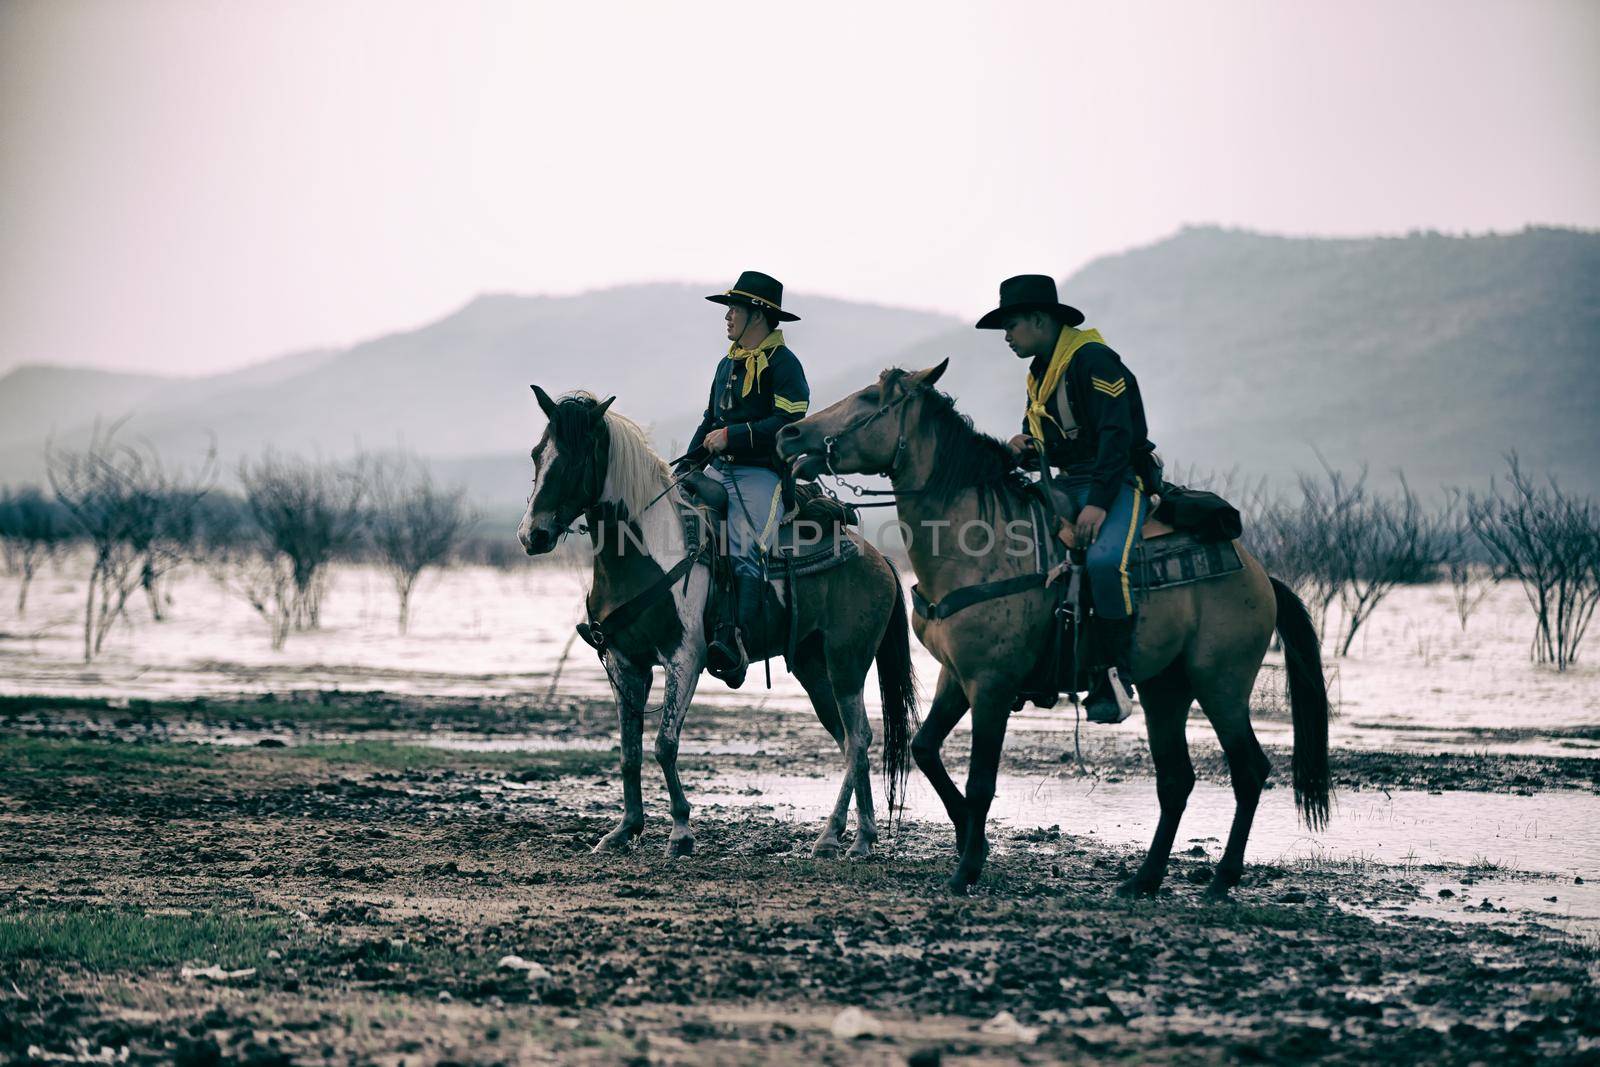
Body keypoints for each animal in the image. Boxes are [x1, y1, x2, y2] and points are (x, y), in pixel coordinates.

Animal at [512, 388, 915, 863]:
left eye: (575, 459)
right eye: (537, 454)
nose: (532, 536)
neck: (646, 551)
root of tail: (878, 558)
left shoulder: (684, 658)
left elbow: (664, 744)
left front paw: (681, 833)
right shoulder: (626, 664)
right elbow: (629, 751)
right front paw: (625, 829)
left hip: (846, 662)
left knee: (858, 738)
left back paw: (838, 836)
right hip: (814, 668)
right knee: (849, 739)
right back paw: (854, 836)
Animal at [780, 363, 1331, 895]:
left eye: (870, 398)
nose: (790, 434)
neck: (979, 543)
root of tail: (1259, 575)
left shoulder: (992, 684)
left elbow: (981, 780)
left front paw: (967, 869)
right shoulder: (956, 676)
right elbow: (925, 749)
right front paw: (970, 841)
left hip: (1220, 684)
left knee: (1249, 771)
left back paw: (1221, 878)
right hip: (1165, 688)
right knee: (1176, 780)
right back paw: (1143, 880)